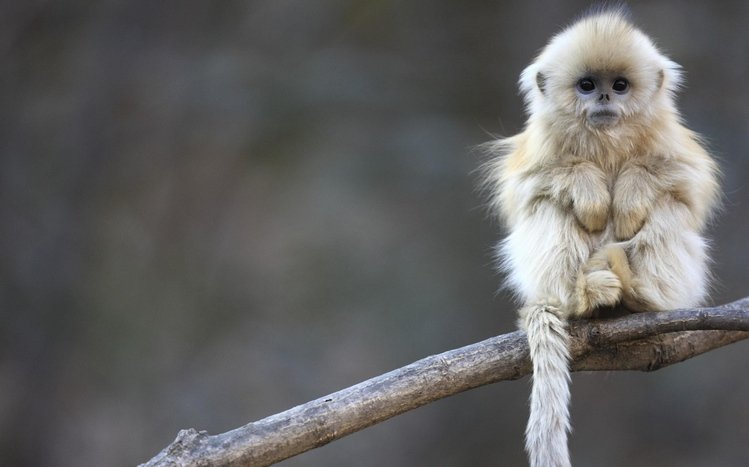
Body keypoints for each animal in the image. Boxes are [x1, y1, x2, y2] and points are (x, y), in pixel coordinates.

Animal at [481, 8, 720, 467]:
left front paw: (628, 195)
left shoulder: (671, 141)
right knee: (549, 206)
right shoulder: (538, 148)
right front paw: (590, 189)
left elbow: (686, 183)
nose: (606, 98)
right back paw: (583, 297)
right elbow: (528, 187)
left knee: (668, 208)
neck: (606, 140)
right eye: (587, 85)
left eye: (620, 85)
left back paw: (639, 293)